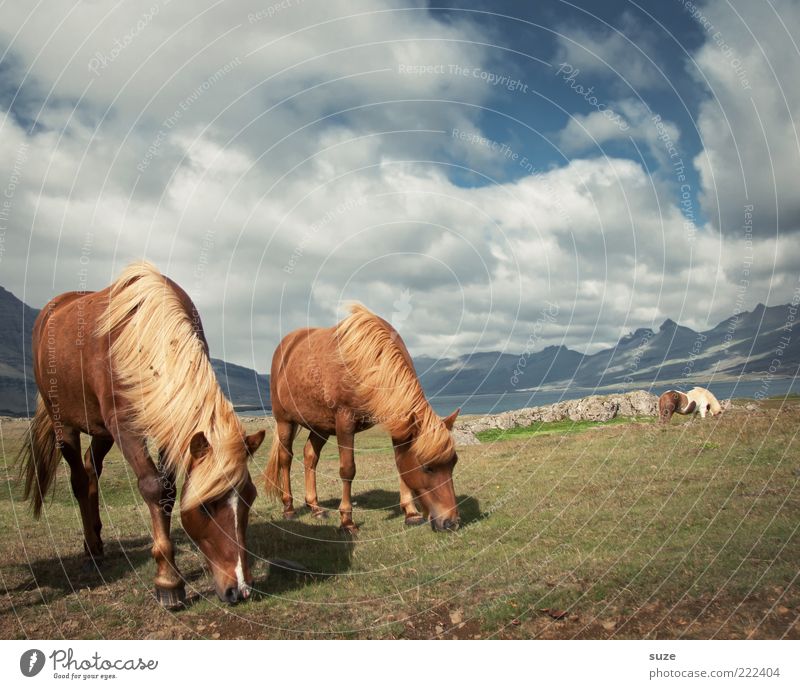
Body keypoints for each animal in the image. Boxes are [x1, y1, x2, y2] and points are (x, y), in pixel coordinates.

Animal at [18, 260, 266, 604]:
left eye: (250, 497)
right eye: (206, 505)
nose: (240, 589)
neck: (142, 337)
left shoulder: (170, 424)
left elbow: (169, 491)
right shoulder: (124, 426)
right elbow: (153, 486)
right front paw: (168, 582)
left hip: (101, 432)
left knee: (91, 471)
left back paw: (96, 541)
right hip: (64, 425)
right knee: (79, 479)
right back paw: (91, 551)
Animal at [264, 304, 460, 536]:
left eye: (453, 463)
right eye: (427, 467)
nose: (451, 522)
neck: (370, 361)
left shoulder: (399, 425)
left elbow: (400, 464)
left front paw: (411, 514)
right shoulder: (345, 422)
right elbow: (347, 469)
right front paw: (347, 521)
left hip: (321, 426)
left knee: (310, 456)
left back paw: (316, 508)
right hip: (284, 421)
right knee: (285, 459)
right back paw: (289, 508)